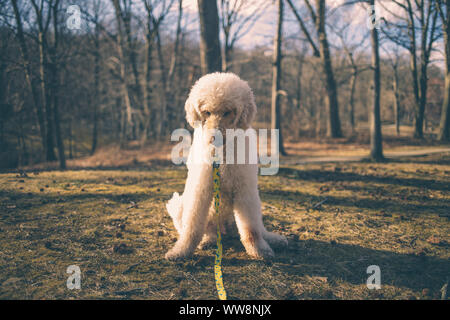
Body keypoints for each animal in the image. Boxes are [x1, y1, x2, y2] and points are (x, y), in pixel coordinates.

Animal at [164, 72, 284, 260]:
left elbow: (251, 229)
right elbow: (192, 227)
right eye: (206, 112)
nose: (214, 138)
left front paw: (259, 250)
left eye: (228, 111)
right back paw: (207, 239)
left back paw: (272, 239)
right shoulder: (200, 189)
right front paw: (181, 251)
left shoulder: (245, 190)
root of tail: (224, 230)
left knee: (257, 226)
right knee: (202, 228)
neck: (223, 153)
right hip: (188, 205)